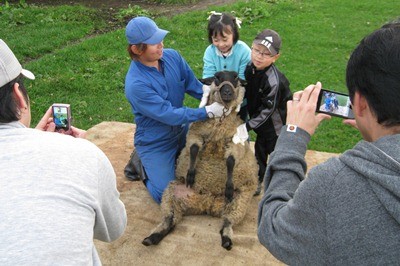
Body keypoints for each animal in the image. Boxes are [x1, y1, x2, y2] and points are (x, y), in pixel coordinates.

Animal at [142, 70, 258, 249]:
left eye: (236, 78)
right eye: (216, 77)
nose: (227, 92)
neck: (220, 122)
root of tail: (207, 203)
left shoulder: (236, 143)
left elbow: (231, 161)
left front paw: (229, 185)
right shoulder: (195, 133)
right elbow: (194, 149)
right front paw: (191, 173)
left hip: (240, 201)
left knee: (228, 221)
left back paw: (226, 240)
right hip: (172, 193)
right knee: (170, 219)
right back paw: (152, 237)